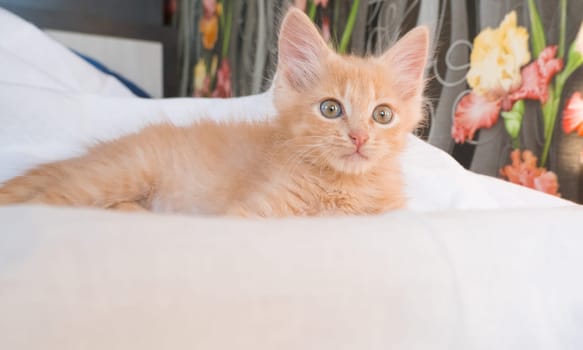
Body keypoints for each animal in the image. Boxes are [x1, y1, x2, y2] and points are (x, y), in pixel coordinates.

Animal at [0, 8, 428, 216]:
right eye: (330, 108)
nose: (359, 137)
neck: (344, 187)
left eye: (382, 115)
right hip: (116, 174)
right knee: (43, 202)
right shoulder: (253, 214)